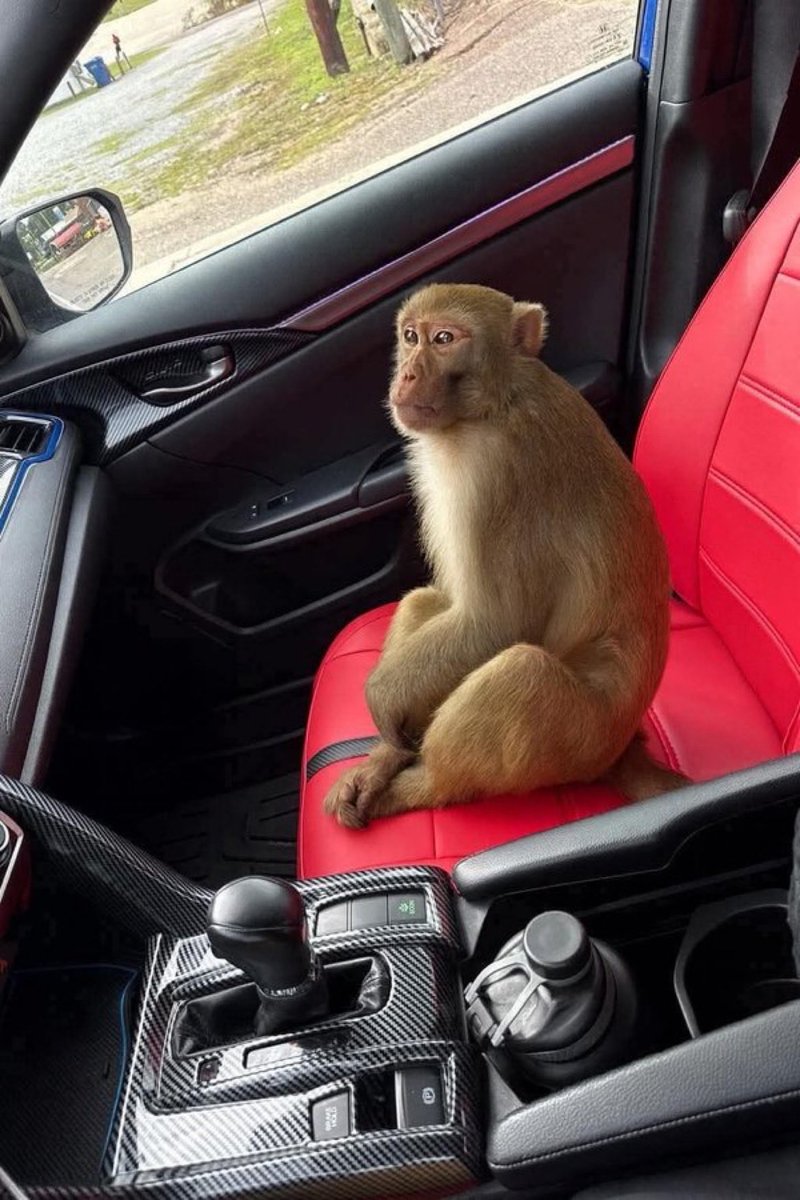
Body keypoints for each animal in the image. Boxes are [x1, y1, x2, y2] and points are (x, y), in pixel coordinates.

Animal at [323, 282, 686, 829]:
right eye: (410, 336)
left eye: (445, 339)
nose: (407, 373)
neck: (494, 404)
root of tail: (623, 750)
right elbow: (452, 605)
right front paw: (386, 751)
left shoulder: (498, 474)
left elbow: (496, 621)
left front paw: (380, 702)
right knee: (423, 604)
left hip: (579, 743)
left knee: (523, 671)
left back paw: (423, 787)